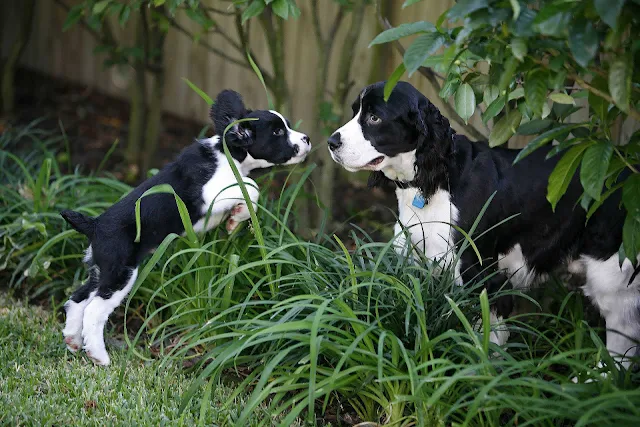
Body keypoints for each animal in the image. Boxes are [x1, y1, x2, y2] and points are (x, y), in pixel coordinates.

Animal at [60, 89, 310, 364]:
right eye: (277, 132)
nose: (307, 139)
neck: (229, 153)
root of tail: (94, 225)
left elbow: (246, 192)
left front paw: (235, 219)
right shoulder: (210, 194)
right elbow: (251, 187)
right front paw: (238, 216)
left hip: (99, 270)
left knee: (78, 299)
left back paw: (72, 341)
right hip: (120, 272)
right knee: (94, 311)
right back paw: (99, 356)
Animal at [330, 81, 640, 372]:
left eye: (374, 118)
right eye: (355, 112)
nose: (332, 142)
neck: (437, 180)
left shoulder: (482, 275)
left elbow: (487, 340)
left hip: (612, 270)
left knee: (622, 336)